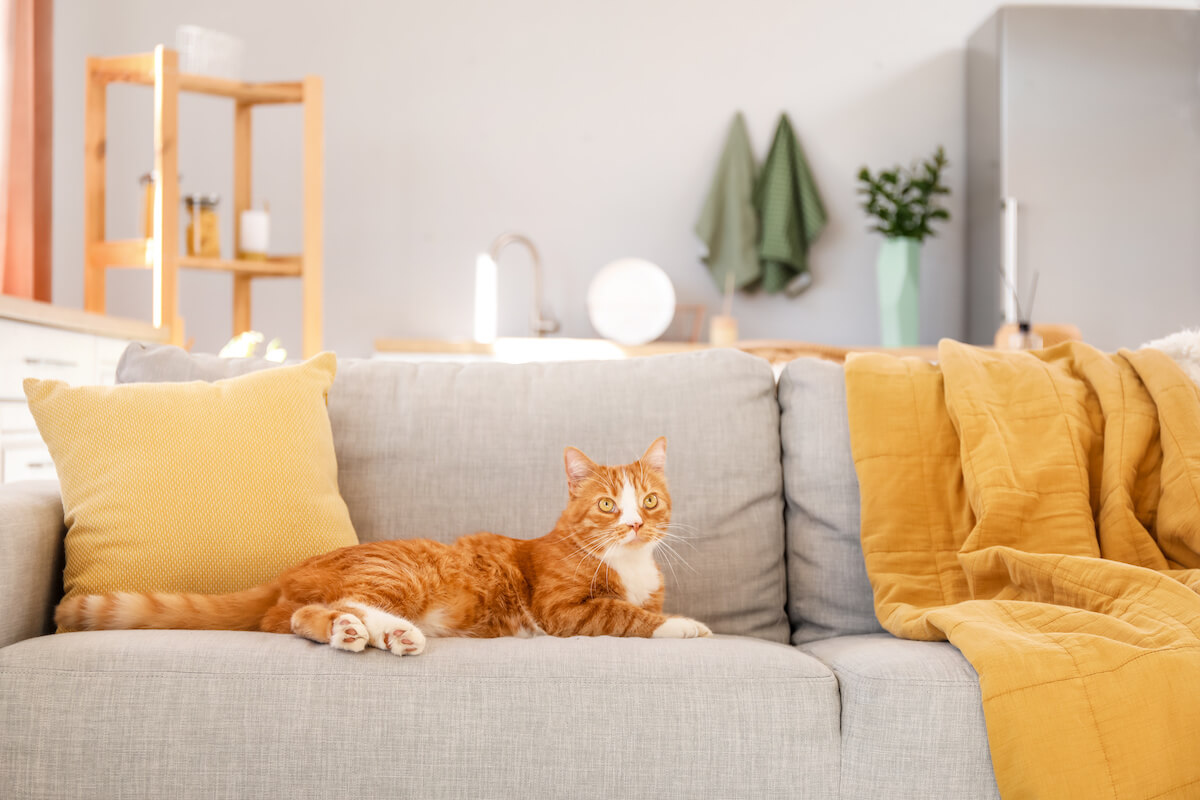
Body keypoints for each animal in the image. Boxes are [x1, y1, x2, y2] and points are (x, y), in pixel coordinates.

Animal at [56, 438, 705, 657]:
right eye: (607, 506)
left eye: (648, 501)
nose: (633, 524)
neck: (629, 563)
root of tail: (292, 569)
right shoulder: (565, 610)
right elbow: (624, 614)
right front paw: (686, 625)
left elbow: (638, 607)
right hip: (400, 572)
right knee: (332, 606)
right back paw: (380, 631)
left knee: (300, 617)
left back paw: (363, 634)